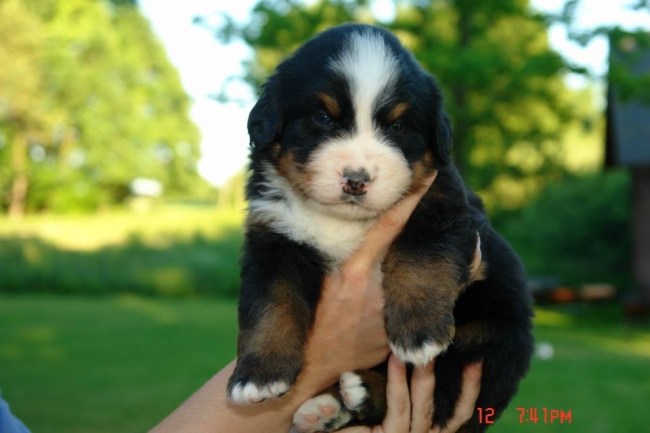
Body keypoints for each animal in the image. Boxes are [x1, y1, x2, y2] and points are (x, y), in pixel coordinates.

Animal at [227, 23, 534, 432]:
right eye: (323, 118)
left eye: (398, 125)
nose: (356, 180)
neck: (344, 221)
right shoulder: (274, 234)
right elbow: (270, 304)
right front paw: (258, 375)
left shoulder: (441, 207)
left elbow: (420, 259)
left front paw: (419, 331)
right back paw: (324, 408)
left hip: (486, 339)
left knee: (439, 390)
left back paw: (362, 391)